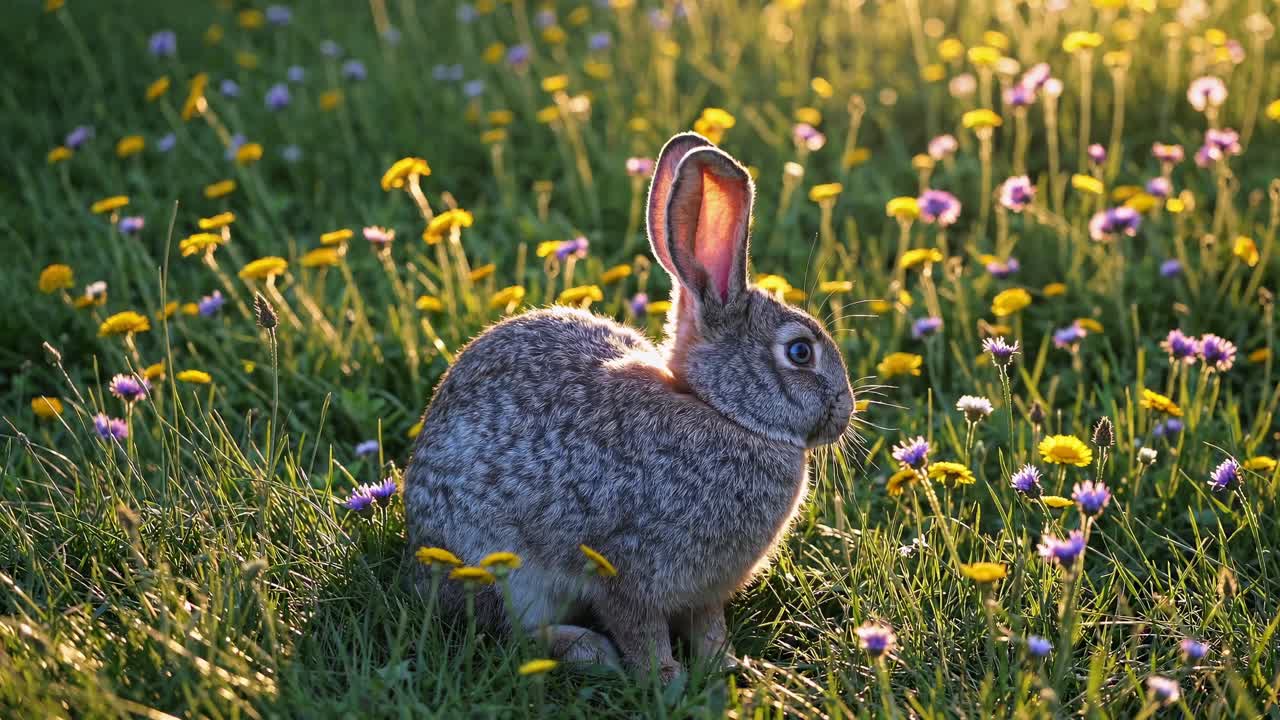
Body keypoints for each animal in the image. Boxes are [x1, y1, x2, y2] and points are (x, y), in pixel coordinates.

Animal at [403, 132, 855, 681]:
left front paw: (727, 668)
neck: (721, 412)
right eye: (800, 352)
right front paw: (669, 681)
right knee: (514, 632)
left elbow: (709, 629)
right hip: (501, 570)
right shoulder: (626, 571)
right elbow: (641, 633)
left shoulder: (703, 593)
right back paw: (588, 650)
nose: (846, 411)